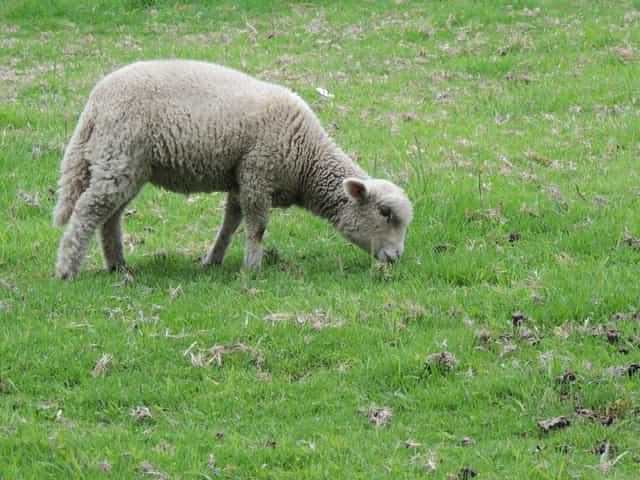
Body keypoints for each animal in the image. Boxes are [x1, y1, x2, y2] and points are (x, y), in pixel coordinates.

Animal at [53, 60, 413, 278]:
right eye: (384, 213)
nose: (397, 257)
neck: (306, 159)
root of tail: (96, 102)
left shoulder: (241, 179)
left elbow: (231, 222)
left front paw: (213, 260)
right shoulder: (258, 172)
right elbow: (257, 226)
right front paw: (253, 268)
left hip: (128, 165)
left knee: (109, 215)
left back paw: (118, 266)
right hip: (120, 155)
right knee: (89, 209)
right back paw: (67, 270)